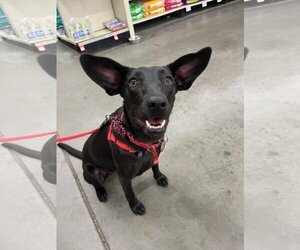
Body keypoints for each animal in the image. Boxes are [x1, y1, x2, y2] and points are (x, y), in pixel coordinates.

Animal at [58, 47, 212, 215]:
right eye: (133, 82)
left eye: (168, 80)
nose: (157, 103)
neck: (143, 142)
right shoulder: (124, 178)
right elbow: (129, 193)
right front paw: (135, 206)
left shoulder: (155, 155)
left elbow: (155, 166)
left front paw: (159, 177)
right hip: (91, 172)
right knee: (96, 184)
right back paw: (101, 192)